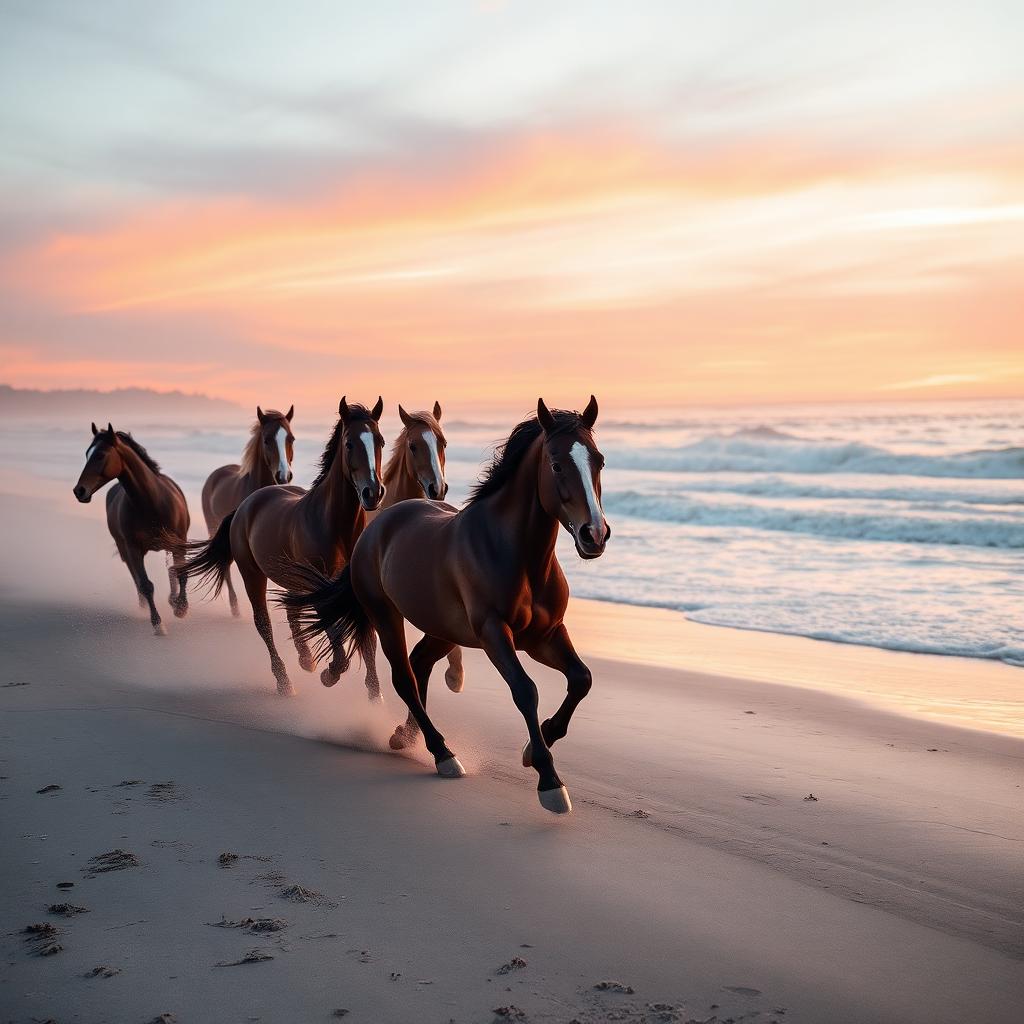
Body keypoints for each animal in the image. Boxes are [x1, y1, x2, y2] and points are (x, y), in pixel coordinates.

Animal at [73, 423, 191, 636]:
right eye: (87, 454)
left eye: (100, 455)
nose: (79, 491)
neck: (152, 503)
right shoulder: (133, 549)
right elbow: (145, 584)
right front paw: (158, 624)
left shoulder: (179, 543)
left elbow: (181, 573)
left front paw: (181, 608)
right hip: (124, 548)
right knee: (136, 577)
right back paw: (144, 605)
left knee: (171, 570)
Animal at [201, 405, 295, 616]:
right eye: (267, 440)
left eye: (291, 438)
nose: (284, 476)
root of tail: (216, 474)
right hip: (213, 526)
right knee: (226, 566)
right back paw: (235, 606)